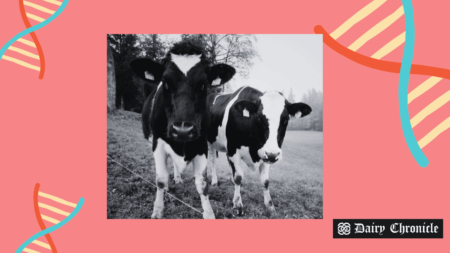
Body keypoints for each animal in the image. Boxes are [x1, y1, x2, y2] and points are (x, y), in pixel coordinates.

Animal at [129, 42, 236, 219]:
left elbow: (202, 184)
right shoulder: (158, 143)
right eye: (165, 82)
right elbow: (160, 178)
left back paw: (178, 178)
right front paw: (158, 210)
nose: (183, 130)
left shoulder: (201, 144)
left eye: (203, 84)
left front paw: (209, 213)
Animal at [206, 86, 312, 214]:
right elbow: (238, 177)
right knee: (212, 161)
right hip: (209, 142)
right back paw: (214, 181)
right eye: (259, 118)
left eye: (285, 120)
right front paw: (237, 204)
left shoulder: (265, 154)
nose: (273, 154)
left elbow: (265, 181)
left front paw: (269, 205)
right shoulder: (233, 150)